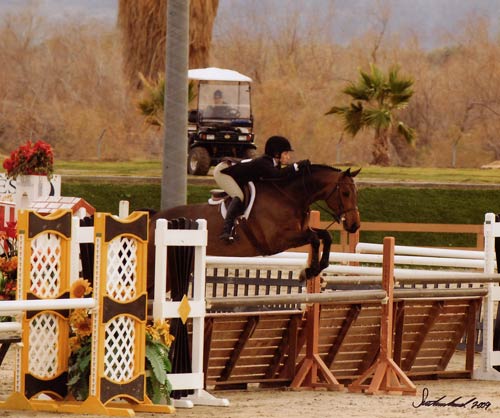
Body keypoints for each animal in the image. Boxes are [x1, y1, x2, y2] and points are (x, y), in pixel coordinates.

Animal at [146, 165, 362, 296]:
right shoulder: (277, 240)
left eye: (355, 193)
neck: (290, 197)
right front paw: (308, 271)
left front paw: (315, 268)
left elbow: (325, 235)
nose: (354, 225)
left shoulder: (300, 231)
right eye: (345, 193)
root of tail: (154, 218)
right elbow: (315, 238)